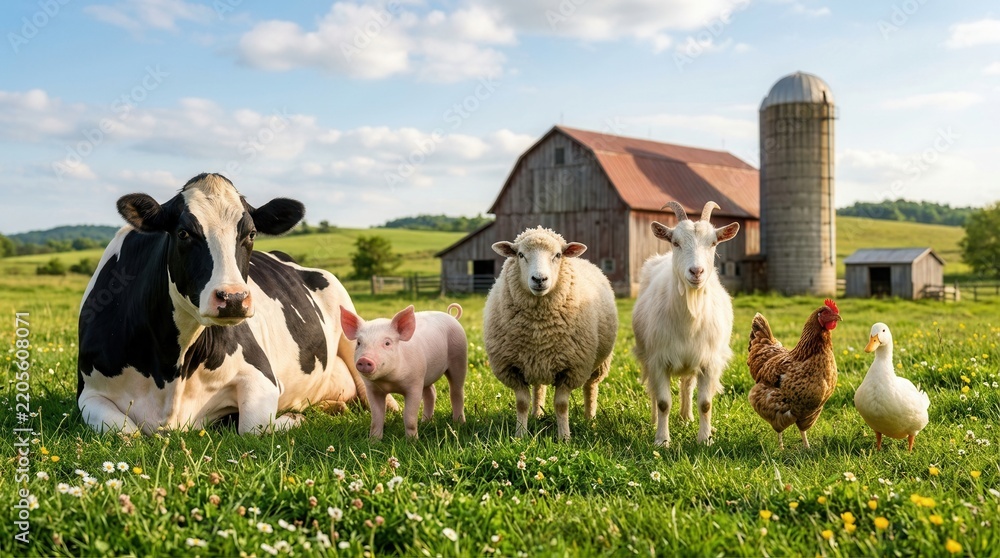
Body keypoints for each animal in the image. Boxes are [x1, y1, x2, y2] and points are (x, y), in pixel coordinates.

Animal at [77, 173, 390, 434]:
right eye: (183, 233)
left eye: (250, 234)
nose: (234, 298)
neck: (169, 369)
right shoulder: (88, 392)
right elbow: (126, 432)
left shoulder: (262, 377)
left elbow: (253, 426)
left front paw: (293, 418)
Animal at [484, 226, 619, 440]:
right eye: (520, 254)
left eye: (557, 255)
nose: (539, 279)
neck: (539, 326)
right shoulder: (513, 368)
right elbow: (522, 403)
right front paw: (520, 436)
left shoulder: (571, 369)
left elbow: (561, 405)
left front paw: (564, 438)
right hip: (536, 362)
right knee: (539, 387)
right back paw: (537, 414)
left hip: (598, 363)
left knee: (590, 387)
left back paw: (590, 419)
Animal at [632, 201, 741, 447]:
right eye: (676, 242)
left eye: (713, 243)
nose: (696, 271)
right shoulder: (658, 359)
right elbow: (663, 402)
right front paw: (662, 440)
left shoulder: (708, 360)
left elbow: (706, 403)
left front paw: (705, 439)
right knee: (654, 393)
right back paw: (655, 421)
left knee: (687, 385)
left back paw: (686, 417)